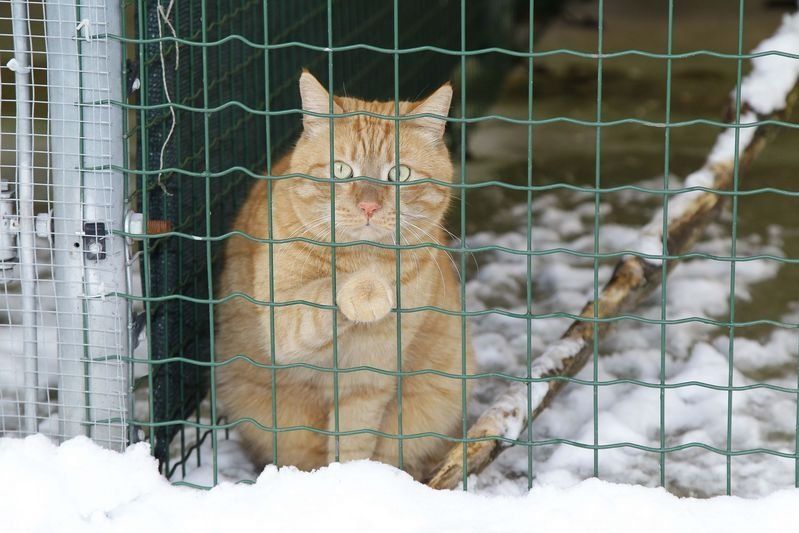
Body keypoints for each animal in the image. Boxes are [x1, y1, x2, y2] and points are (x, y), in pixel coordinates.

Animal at [215, 71, 474, 482]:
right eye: (341, 170)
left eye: (399, 174)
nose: (368, 206)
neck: (364, 256)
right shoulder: (282, 323)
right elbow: (324, 294)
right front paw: (366, 288)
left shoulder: (367, 382)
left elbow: (353, 443)